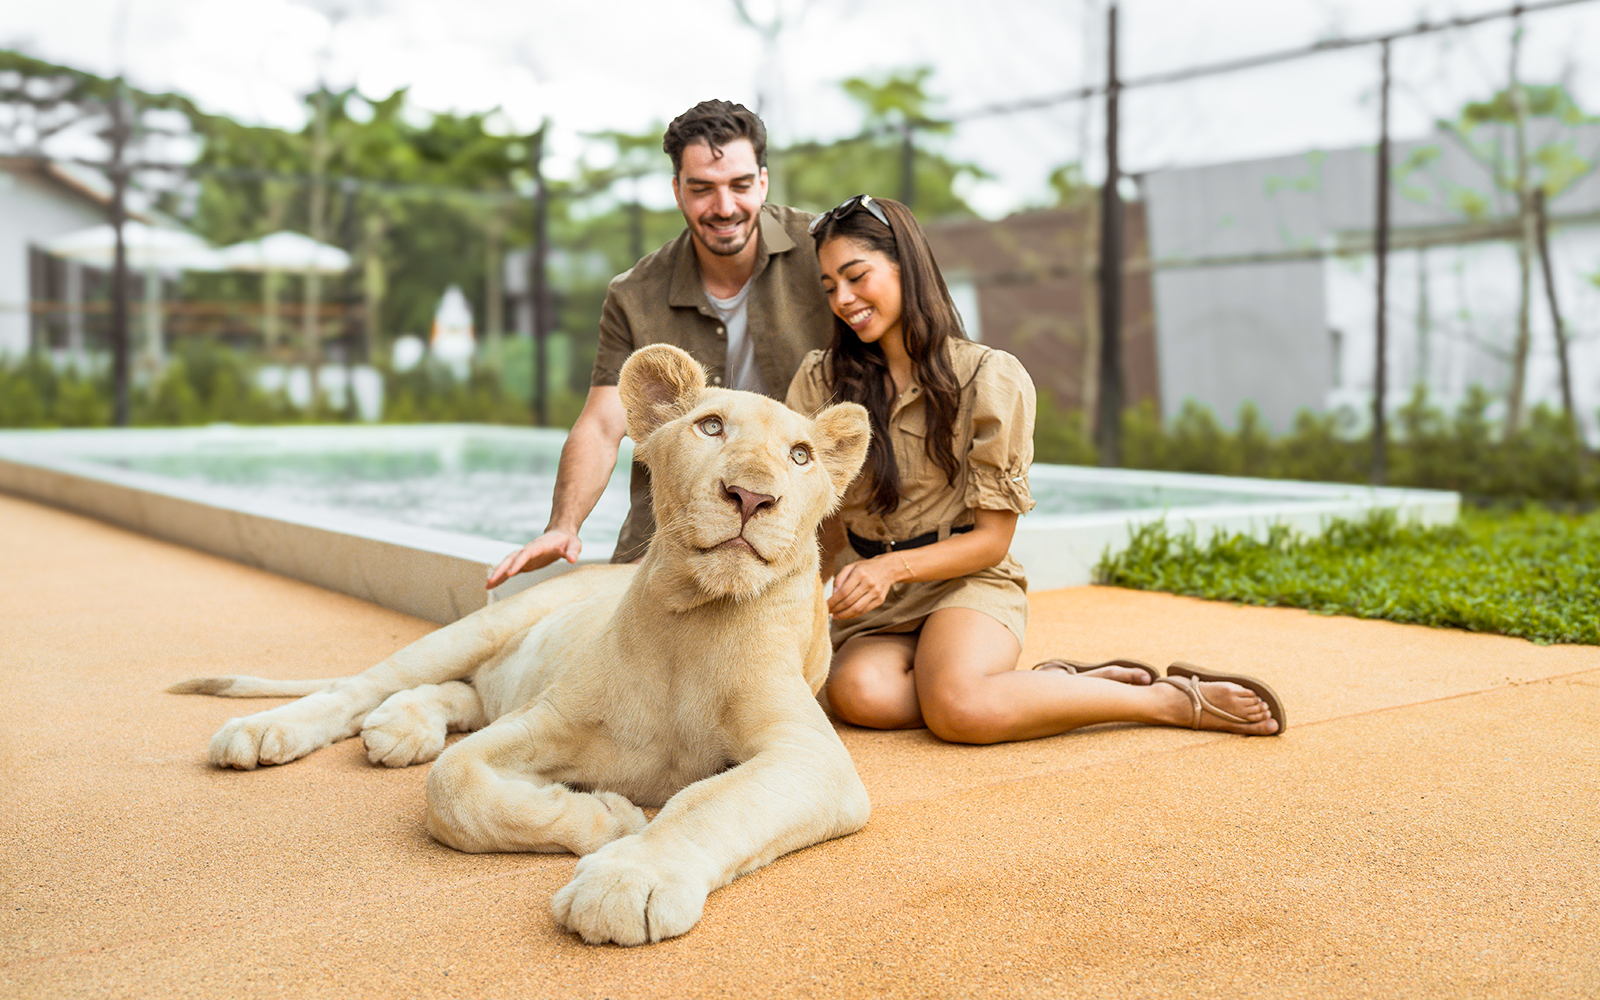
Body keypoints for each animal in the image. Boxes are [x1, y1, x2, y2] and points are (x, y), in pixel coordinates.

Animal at [169, 343, 874, 946]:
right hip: (478, 628)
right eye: (710, 427)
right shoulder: (547, 721)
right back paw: (265, 732)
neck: (692, 618)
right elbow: (454, 786)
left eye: (801, 455)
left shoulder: (812, 757)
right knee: (361, 687)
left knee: (453, 696)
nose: (752, 495)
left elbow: (712, 803)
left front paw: (628, 880)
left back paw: (400, 729)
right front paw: (610, 819)